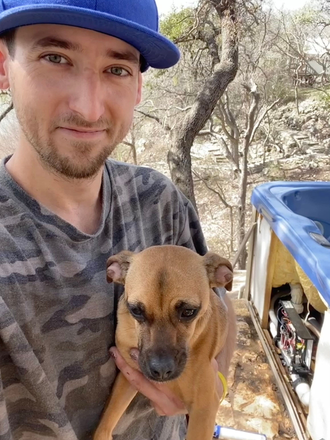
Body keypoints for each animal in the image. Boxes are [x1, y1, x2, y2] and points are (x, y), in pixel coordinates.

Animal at [93, 246, 232, 440]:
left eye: (189, 311)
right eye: (136, 310)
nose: (160, 371)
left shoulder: (204, 409)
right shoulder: (127, 377)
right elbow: (104, 424)